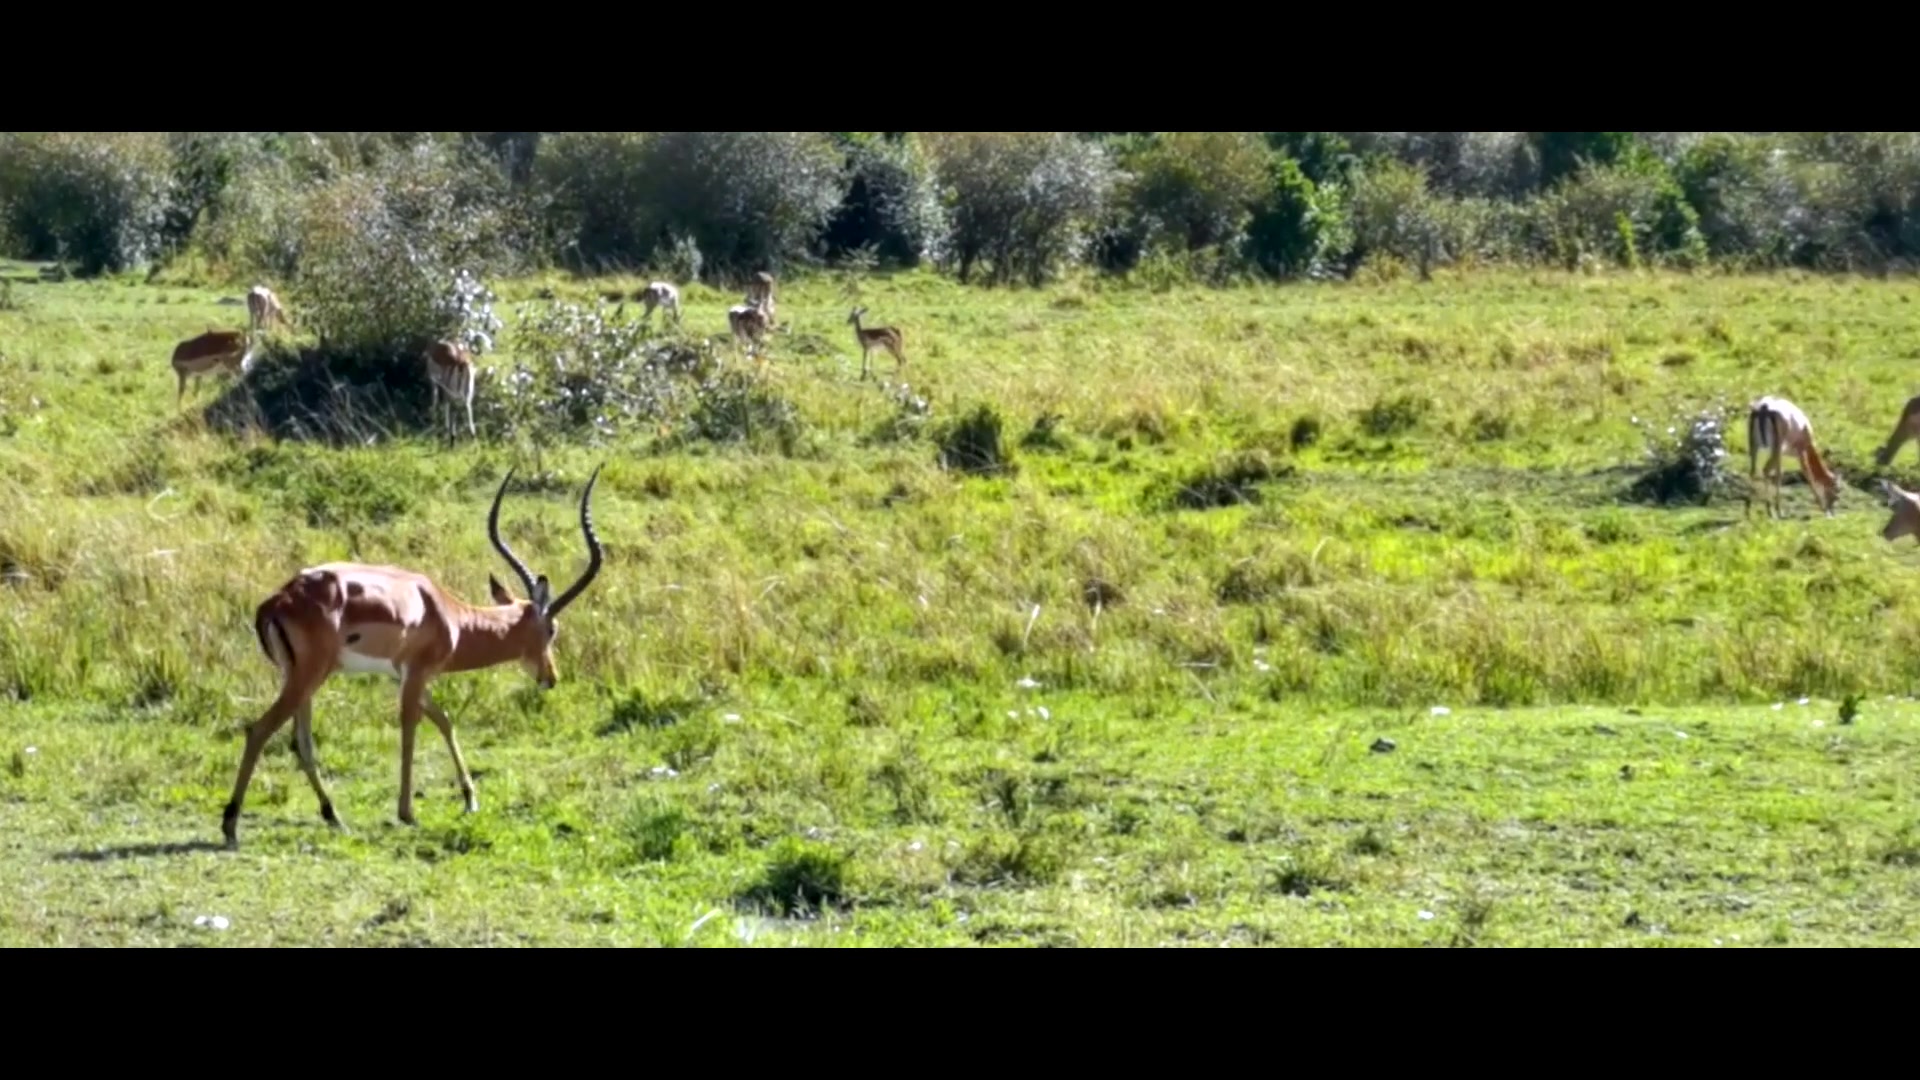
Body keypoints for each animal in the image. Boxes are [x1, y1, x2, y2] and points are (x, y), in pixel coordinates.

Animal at [223, 463, 614, 849]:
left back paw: (334, 816)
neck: (446, 613)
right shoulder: (417, 672)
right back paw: (230, 825)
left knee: (300, 743)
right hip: (309, 676)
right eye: (552, 629)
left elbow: (444, 720)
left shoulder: (405, 676)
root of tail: (277, 601)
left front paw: (470, 799)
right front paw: (408, 812)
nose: (551, 677)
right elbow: (411, 729)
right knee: (259, 730)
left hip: (299, 678)